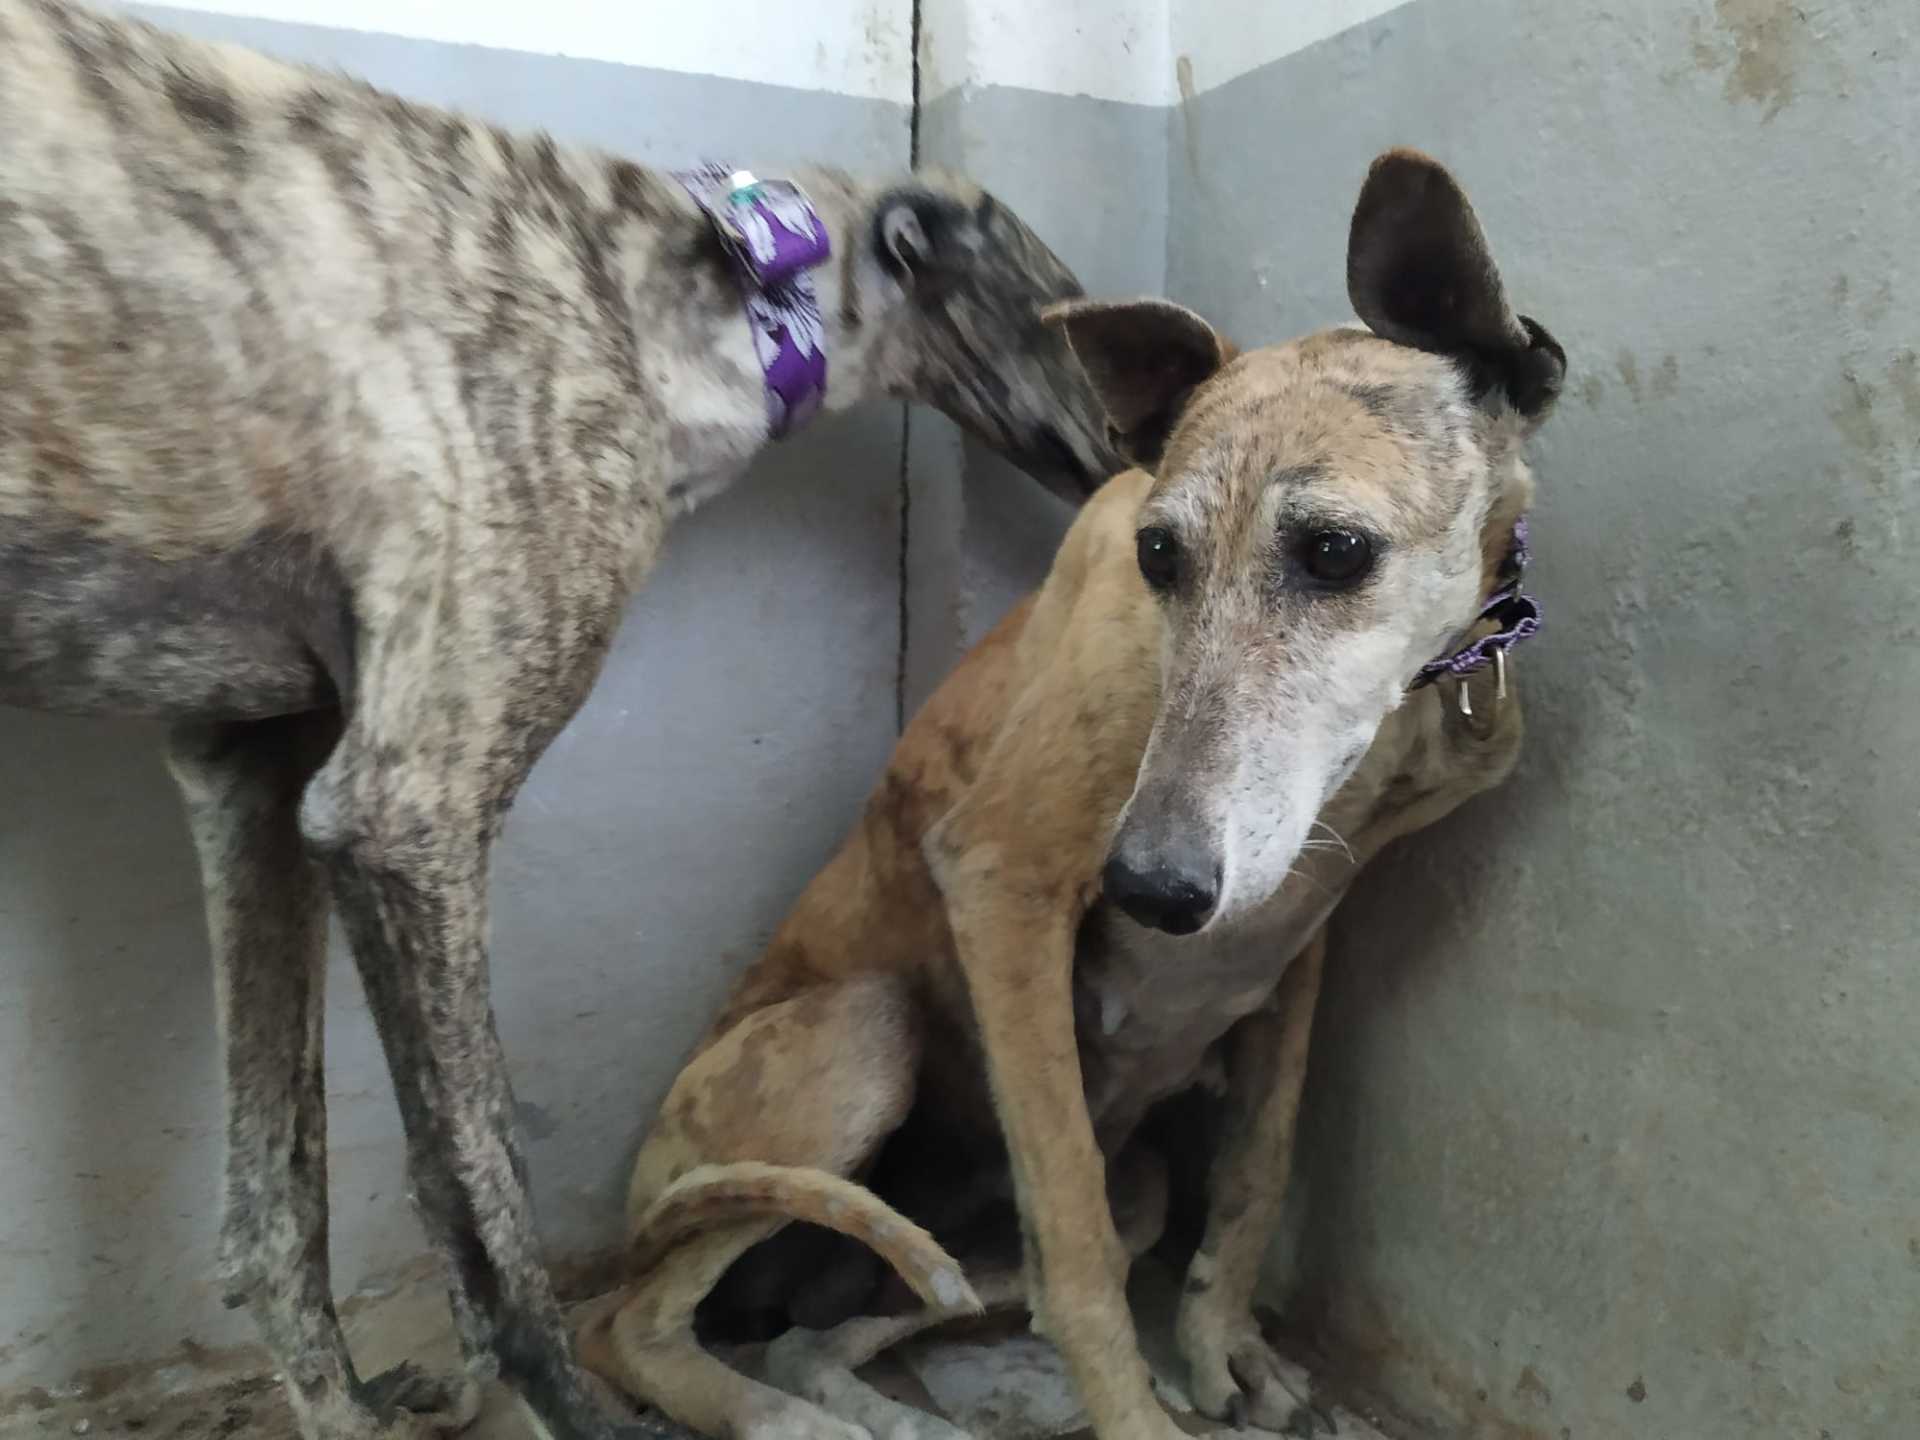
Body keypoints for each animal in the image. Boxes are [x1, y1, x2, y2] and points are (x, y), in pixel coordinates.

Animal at [0, 3, 1139, 1437]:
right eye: (1068, 311)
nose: (1157, 454)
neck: (696, 293)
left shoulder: (252, 774)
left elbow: (277, 1197)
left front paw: (346, 1406)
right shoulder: (407, 809)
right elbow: (478, 1180)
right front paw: (557, 1399)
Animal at [577, 148, 1567, 1440]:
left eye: (1336, 551)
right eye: (1158, 555)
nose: (1149, 889)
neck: (1401, 722)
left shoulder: (1302, 938)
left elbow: (1254, 1170)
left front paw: (1221, 1345)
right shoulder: (1005, 878)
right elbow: (1080, 1252)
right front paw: (1144, 1413)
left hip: (1053, 1208)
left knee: (829, 1331)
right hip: (862, 1038)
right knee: (629, 1327)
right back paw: (778, 1412)